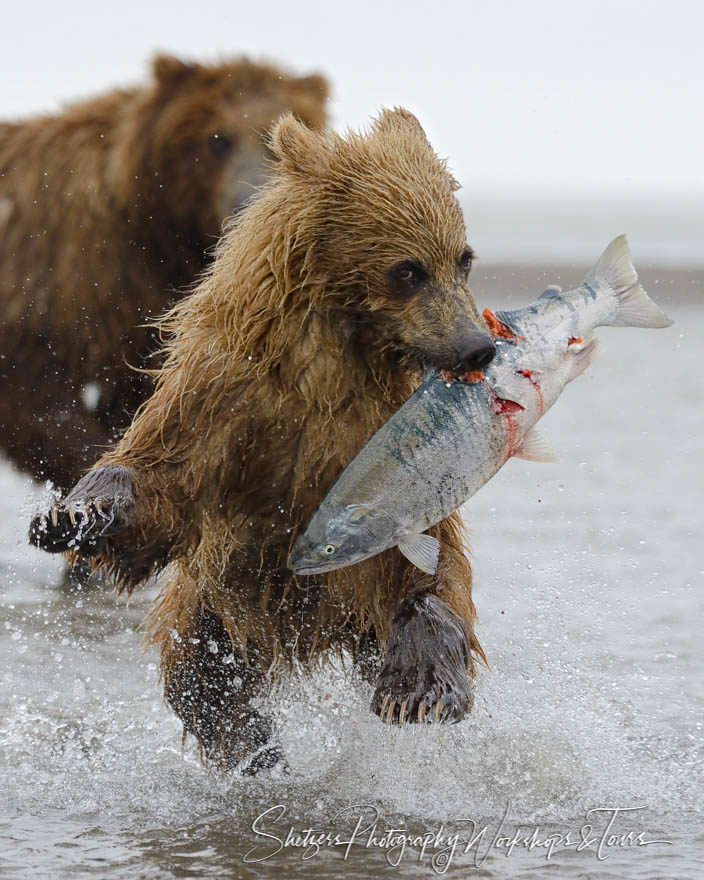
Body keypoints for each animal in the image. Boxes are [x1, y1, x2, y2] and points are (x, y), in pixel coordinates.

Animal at [28, 108, 496, 768]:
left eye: (463, 258)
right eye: (408, 269)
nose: (478, 346)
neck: (330, 364)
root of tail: (320, 633)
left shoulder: (386, 436)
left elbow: (432, 551)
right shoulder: (223, 400)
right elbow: (159, 480)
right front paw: (73, 515)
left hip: (365, 580)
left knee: (428, 588)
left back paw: (420, 688)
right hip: (218, 596)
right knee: (201, 675)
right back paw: (254, 747)